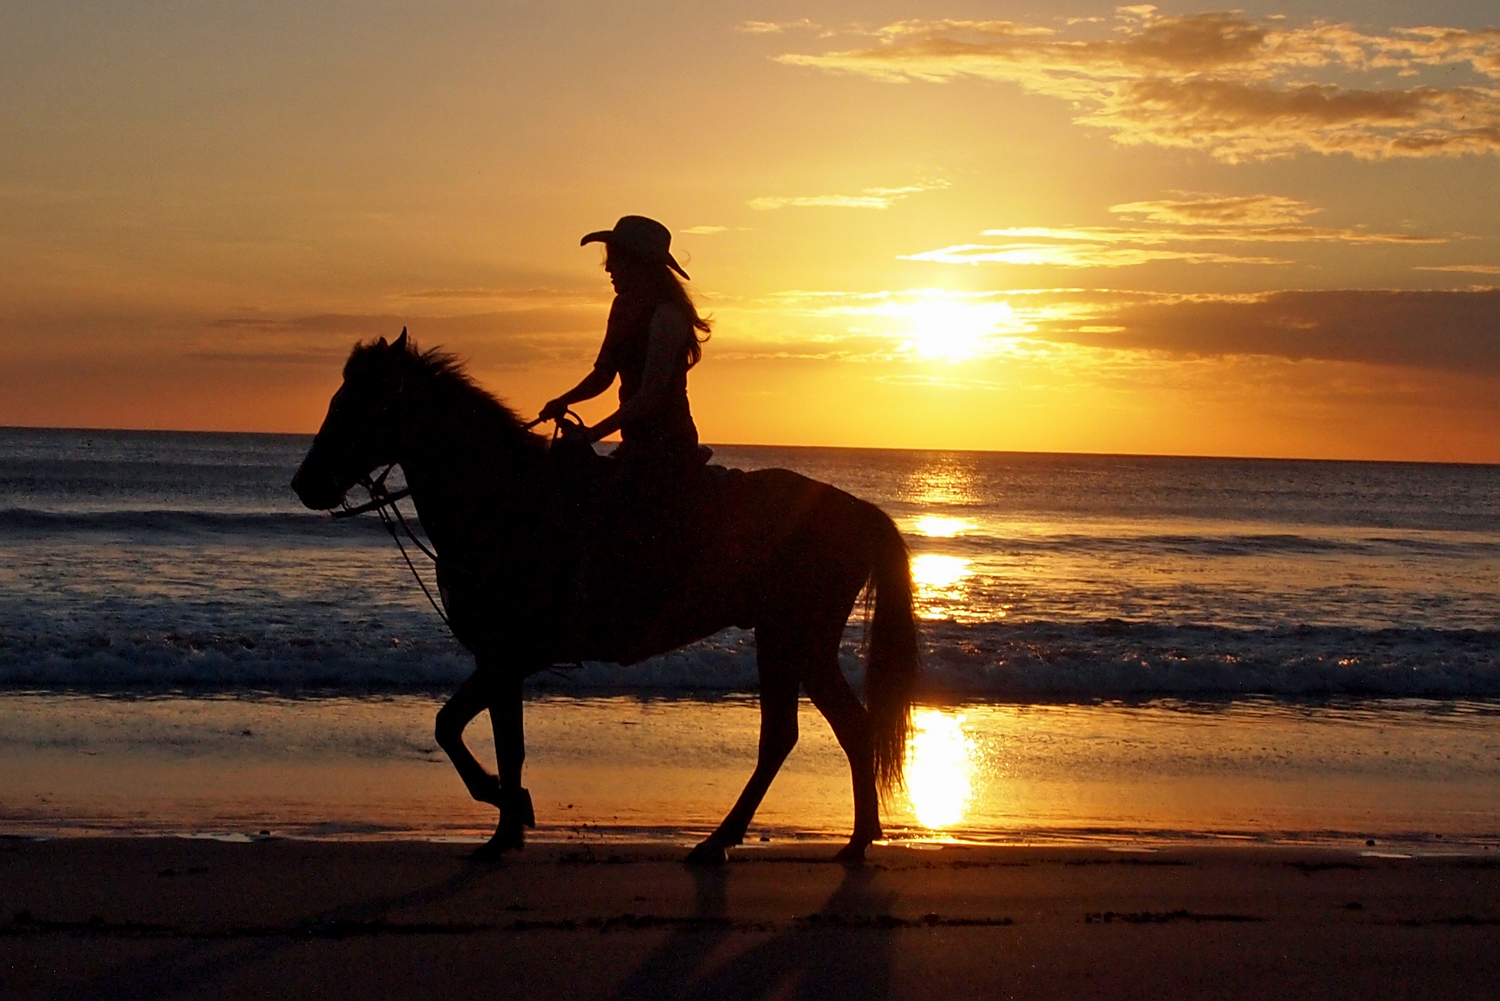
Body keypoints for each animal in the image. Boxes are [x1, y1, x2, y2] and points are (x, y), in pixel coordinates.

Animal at [291, 330, 918, 864]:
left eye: (354, 405)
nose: (304, 484)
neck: (504, 502)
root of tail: (856, 510)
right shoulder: (501, 661)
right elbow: (488, 738)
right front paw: (507, 825)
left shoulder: (510, 655)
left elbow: (461, 731)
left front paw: (508, 811)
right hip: (795, 641)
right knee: (832, 729)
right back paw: (841, 839)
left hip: (792, 636)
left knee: (795, 734)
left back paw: (736, 841)